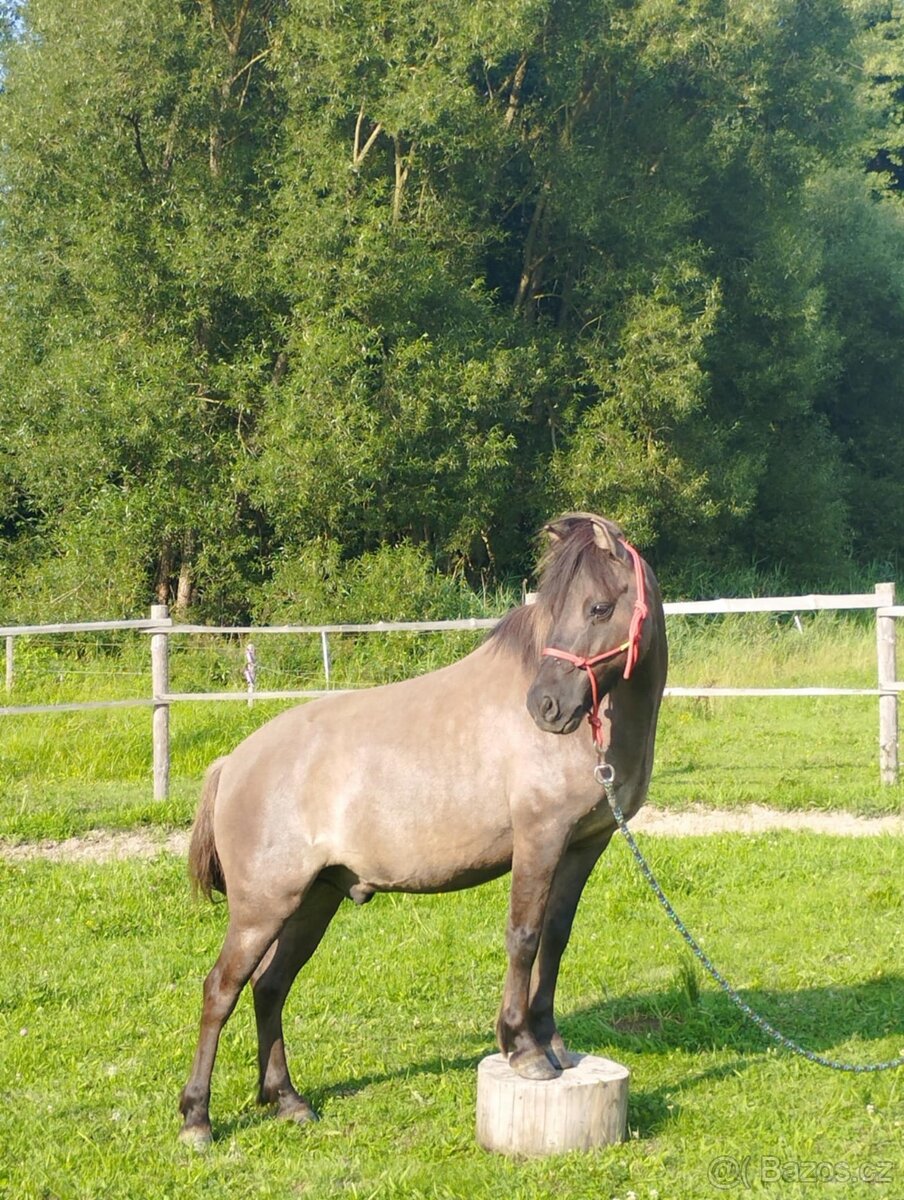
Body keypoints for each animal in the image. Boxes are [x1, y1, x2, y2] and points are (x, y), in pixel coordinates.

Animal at [178, 512, 668, 1147]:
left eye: (599, 608)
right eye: (557, 610)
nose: (546, 706)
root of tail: (233, 762)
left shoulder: (585, 845)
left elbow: (556, 938)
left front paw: (553, 1041)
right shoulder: (539, 839)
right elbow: (524, 936)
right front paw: (523, 1049)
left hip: (313, 901)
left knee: (270, 986)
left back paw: (288, 1100)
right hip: (262, 908)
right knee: (221, 989)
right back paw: (197, 1120)